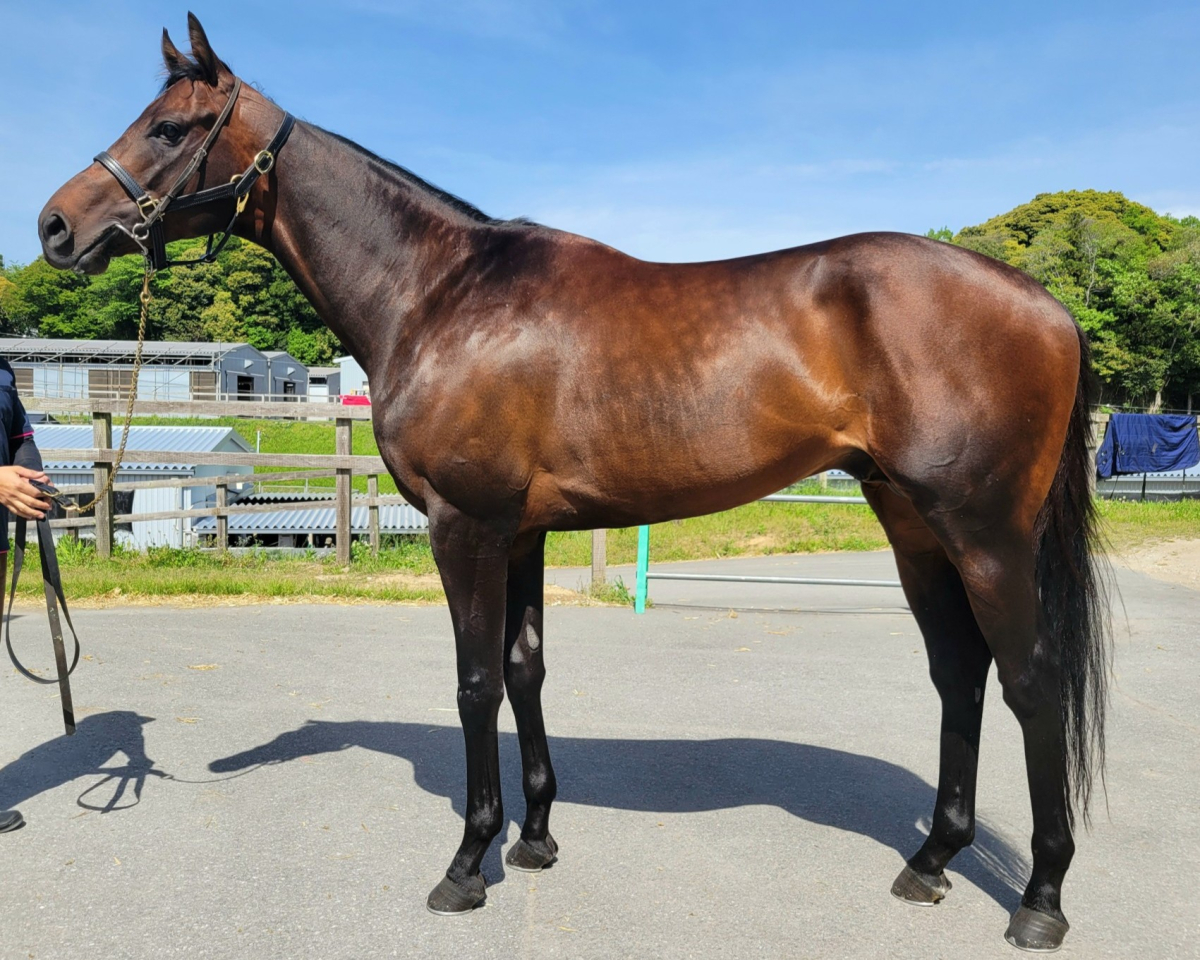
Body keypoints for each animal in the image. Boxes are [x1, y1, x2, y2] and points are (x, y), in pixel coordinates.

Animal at [38, 16, 1107, 951]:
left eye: (169, 127)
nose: (55, 226)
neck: (439, 294)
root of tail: (1046, 304)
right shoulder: (519, 532)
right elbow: (525, 670)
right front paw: (535, 839)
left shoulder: (465, 526)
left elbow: (474, 682)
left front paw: (467, 864)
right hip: (911, 523)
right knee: (959, 673)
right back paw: (930, 861)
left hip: (984, 534)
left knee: (1030, 681)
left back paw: (1042, 901)